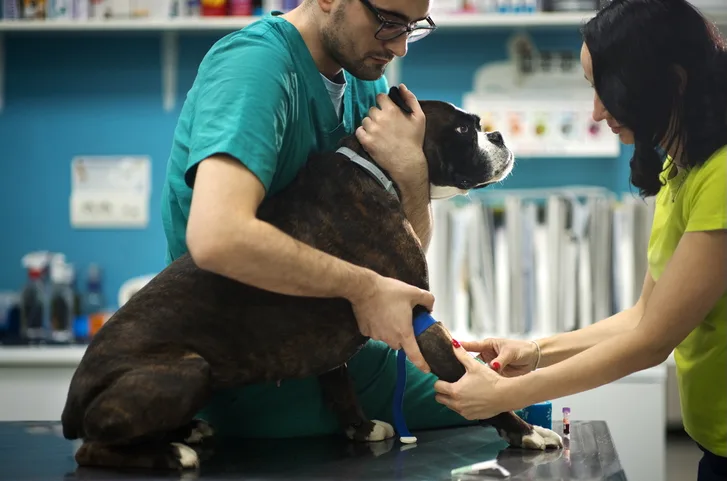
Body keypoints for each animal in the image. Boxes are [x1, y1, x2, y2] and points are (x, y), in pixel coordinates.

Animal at [62, 86, 564, 468]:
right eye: (463, 130)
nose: (497, 134)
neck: (376, 169)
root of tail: (72, 401)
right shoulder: (415, 311)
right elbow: (465, 377)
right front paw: (527, 434)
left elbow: (337, 383)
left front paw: (361, 428)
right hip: (187, 370)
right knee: (91, 448)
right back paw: (171, 453)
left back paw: (189, 431)